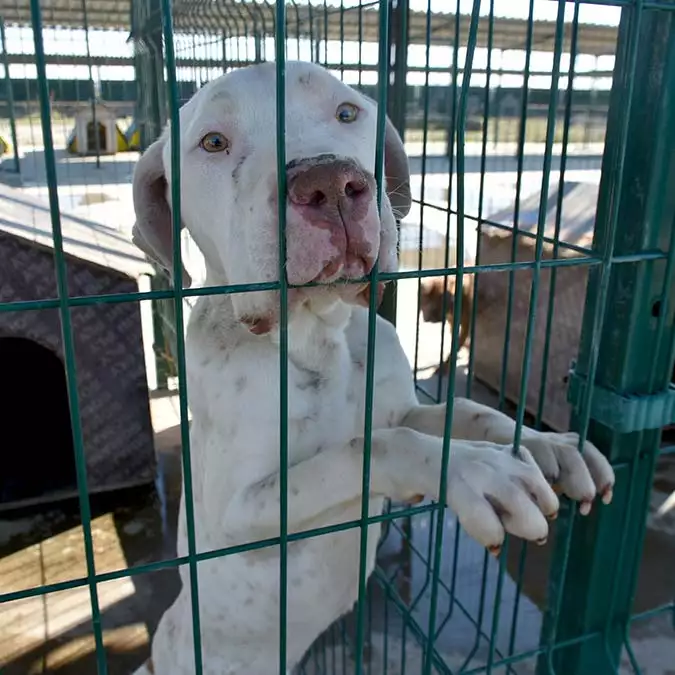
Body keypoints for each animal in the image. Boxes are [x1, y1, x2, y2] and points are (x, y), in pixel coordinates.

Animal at [129, 60, 616, 672]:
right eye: (213, 143)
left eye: (347, 112)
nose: (331, 182)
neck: (318, 337)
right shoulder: (241, 509)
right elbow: (367, 448)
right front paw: (479, 471)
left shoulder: (398, 407)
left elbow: (464, 411)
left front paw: (550, 447)